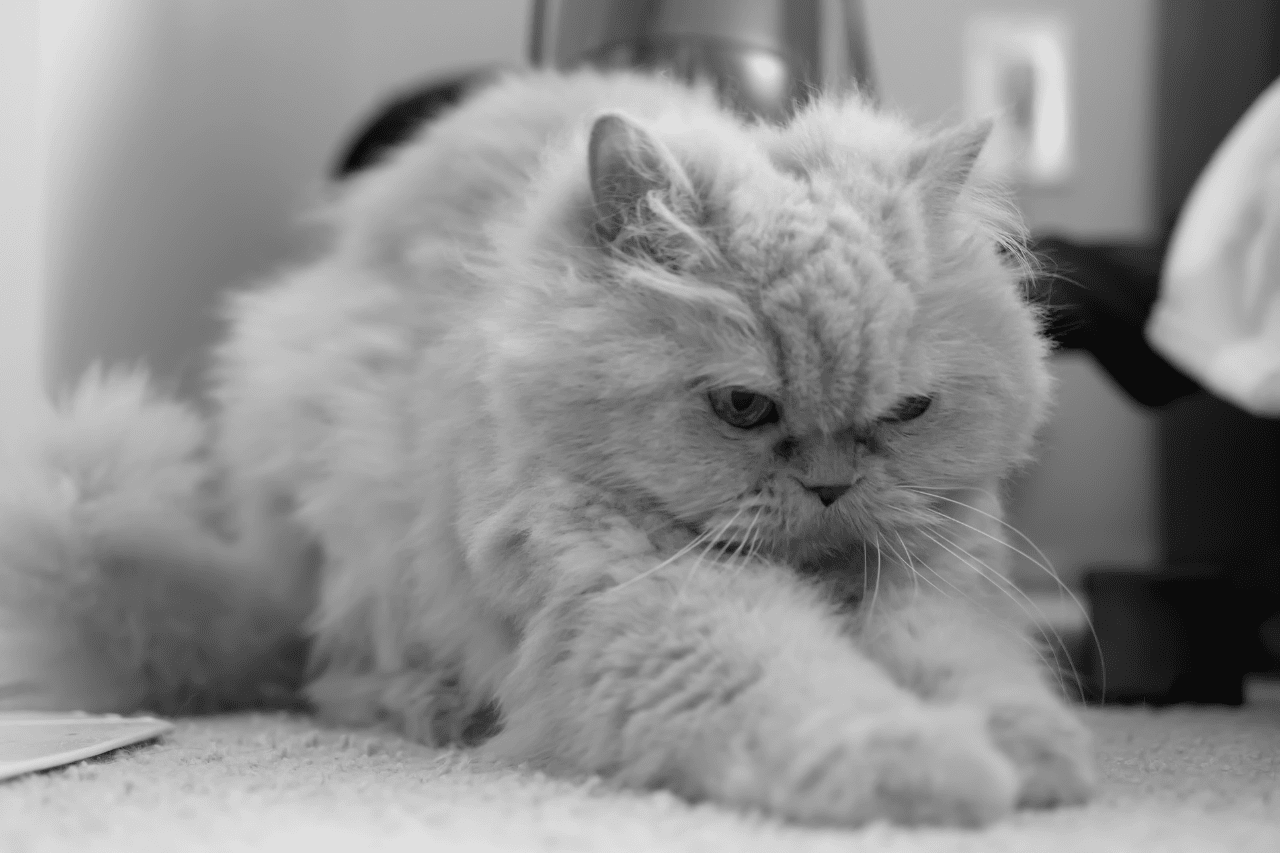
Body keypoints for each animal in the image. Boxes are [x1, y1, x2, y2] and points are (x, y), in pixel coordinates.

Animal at [2, 71, 1100, 824]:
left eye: (905, 412)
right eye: (743, 407)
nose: (831, 485)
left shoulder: (934, 579)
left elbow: (975, 666)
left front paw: (1033, 753)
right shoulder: (652, 607)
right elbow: (803, 685)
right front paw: (928, 764)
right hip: (352, 522)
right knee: (330, 674)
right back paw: (439, 707)